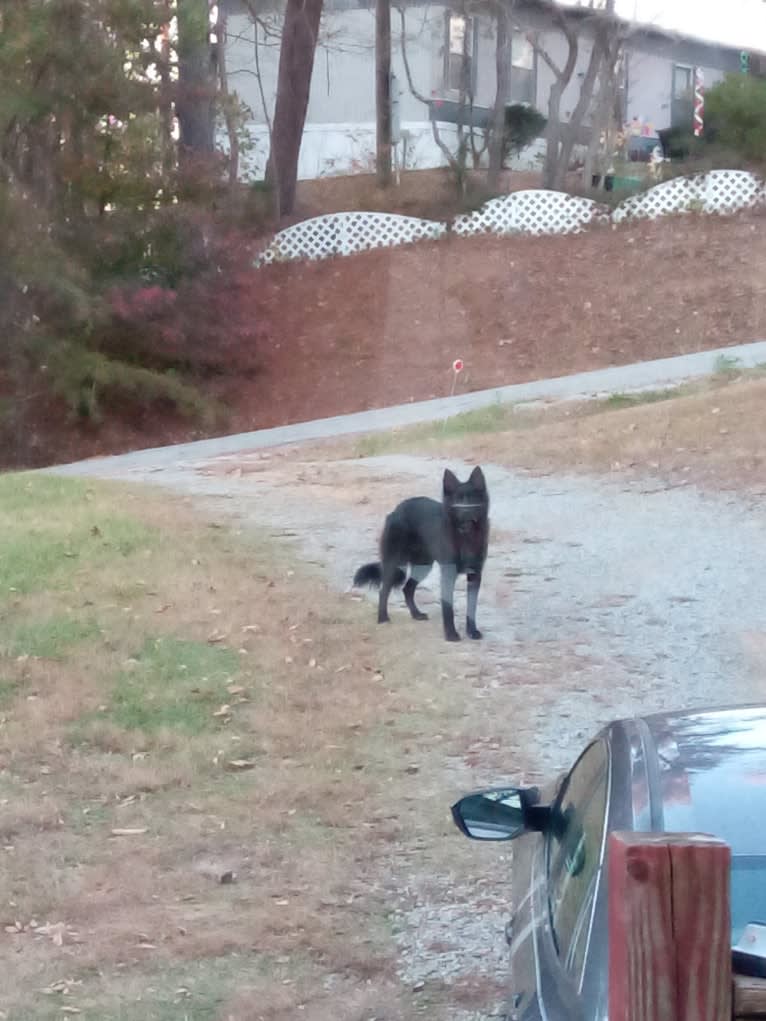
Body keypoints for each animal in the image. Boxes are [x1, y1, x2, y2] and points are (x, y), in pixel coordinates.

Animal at [355, 467, 492, 641]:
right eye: (457, 500)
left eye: (472, 499)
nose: (466, 513)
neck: (465, 537)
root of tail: (396, 510)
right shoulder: (448, 574)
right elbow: (448, 608)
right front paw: (451, 634)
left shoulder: (475, 575)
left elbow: (471, 608)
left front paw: (472, 631)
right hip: (394, 564)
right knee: (384, 590)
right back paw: (383, 618)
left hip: (423, 566)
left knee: (407, 589)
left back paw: (416, 614)